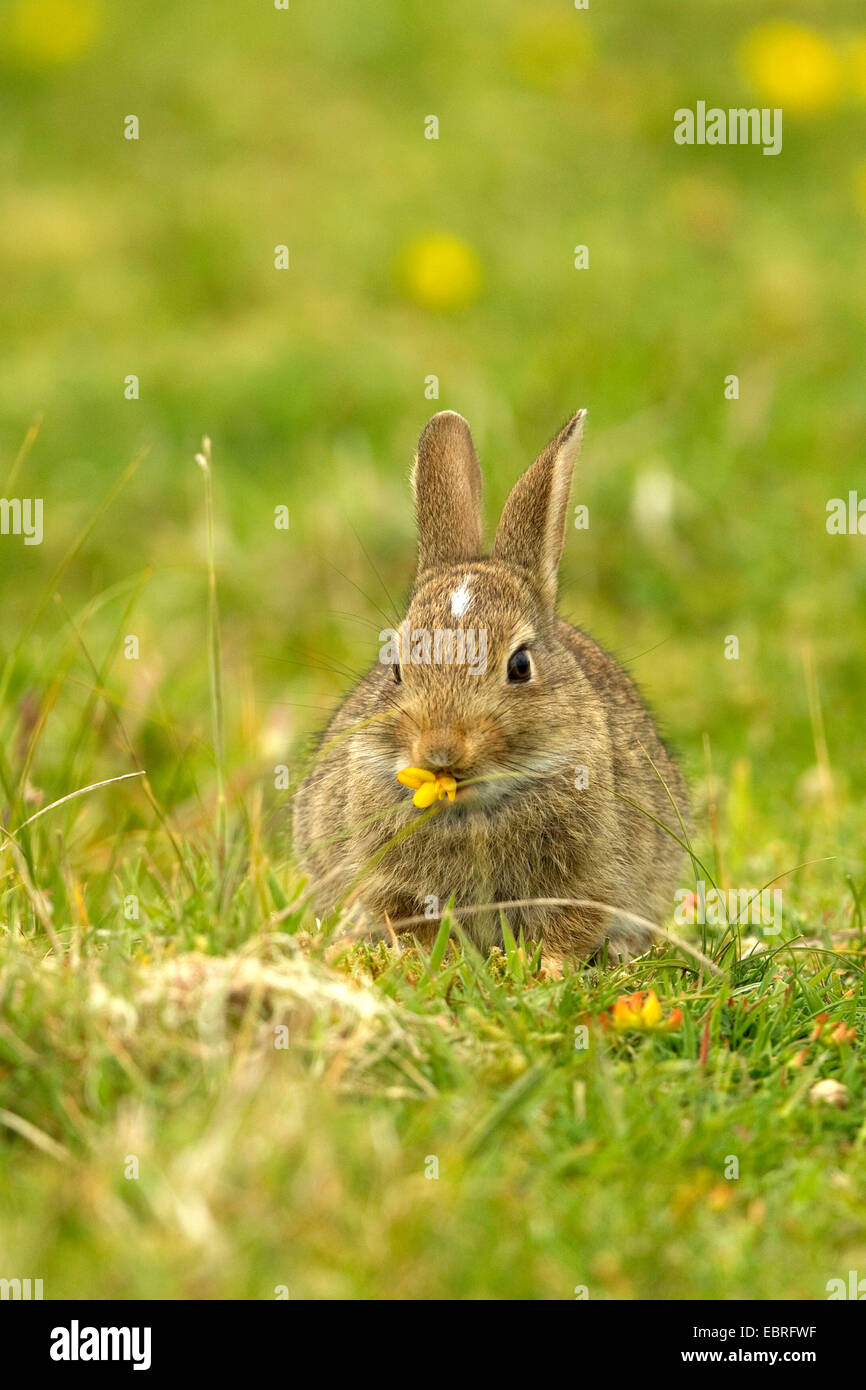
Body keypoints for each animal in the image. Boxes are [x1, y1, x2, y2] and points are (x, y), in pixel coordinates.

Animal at [294, 405, 686, 961]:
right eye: (395, 667)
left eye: (520, 666)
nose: (440, 749)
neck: (473, 805)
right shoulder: (390, 887)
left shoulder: (589, 881)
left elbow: (567, 930)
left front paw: (545, 971)